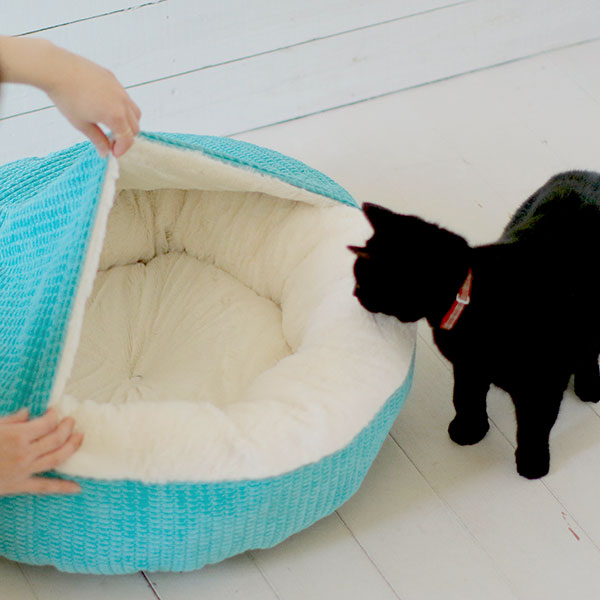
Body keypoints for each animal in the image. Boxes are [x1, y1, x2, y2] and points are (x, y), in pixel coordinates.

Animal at [349, 170, 600, 479]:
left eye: (362, 279)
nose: (354, 293)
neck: (469, 297)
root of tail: (587, 173)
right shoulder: (468, 367)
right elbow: (466, 398)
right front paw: (469, 430)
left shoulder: (541, 384)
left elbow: (534, 426)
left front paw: (533, 463)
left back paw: (589, 386)